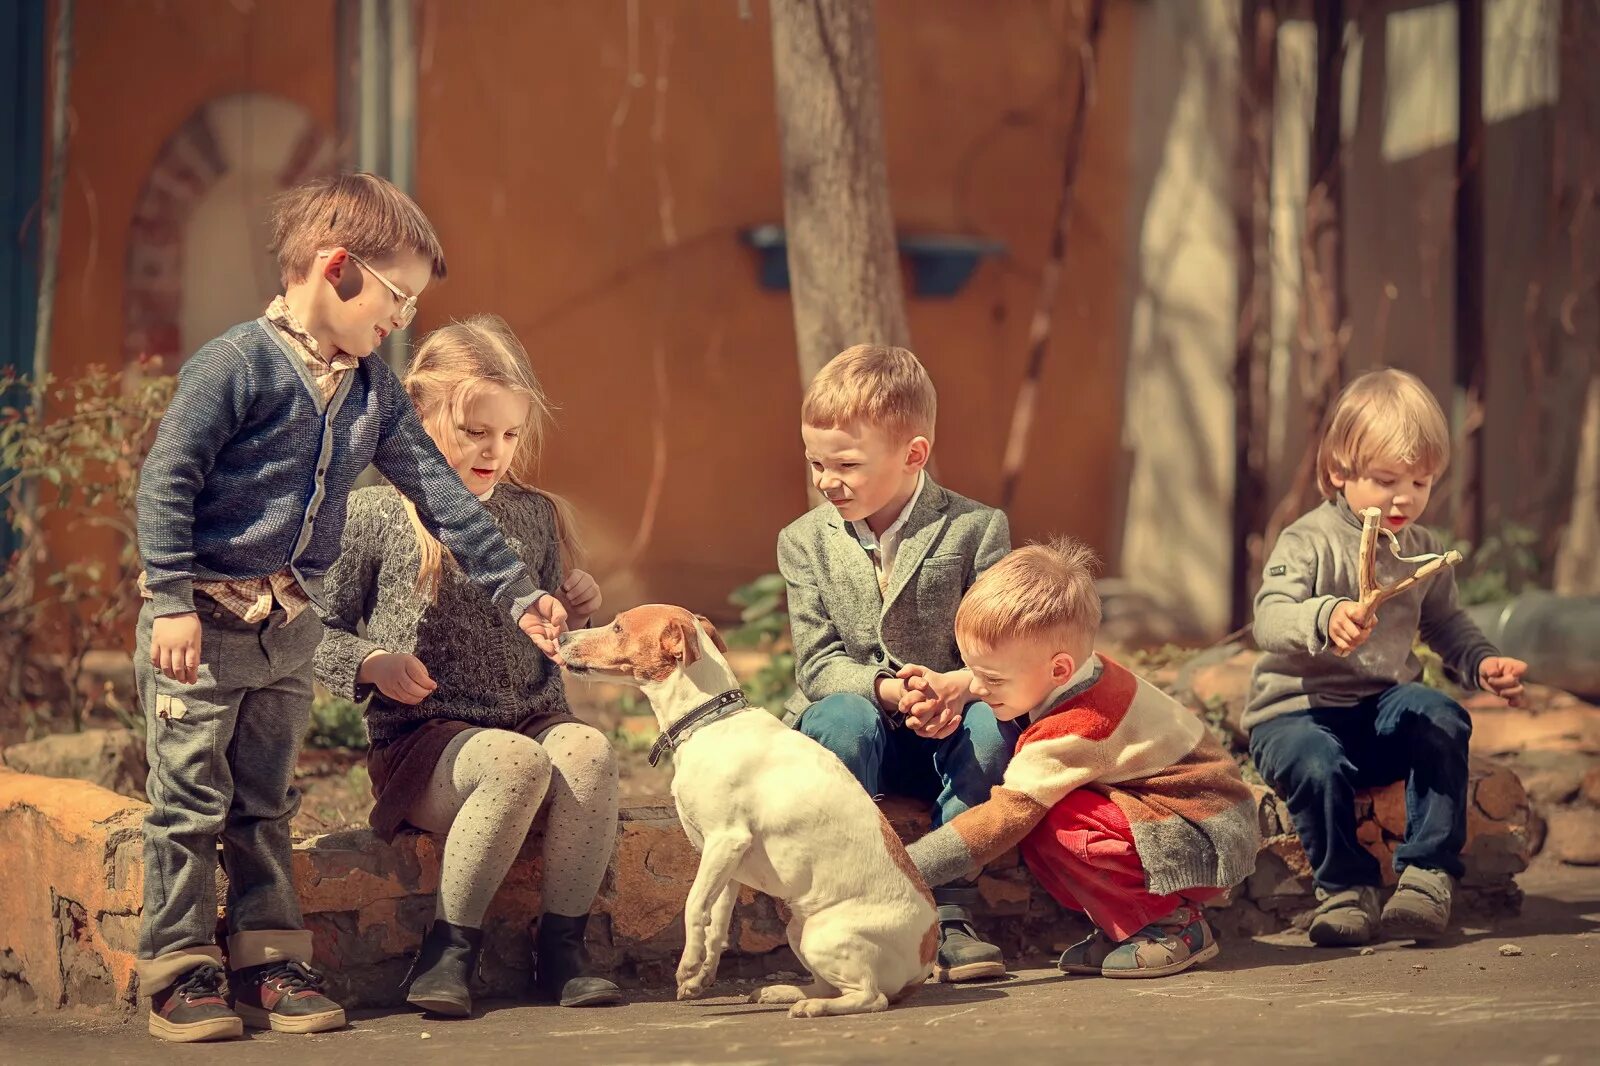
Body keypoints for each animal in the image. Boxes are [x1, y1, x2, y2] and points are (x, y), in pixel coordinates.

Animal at [560, 605, 934, 1011]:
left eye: (617, 627)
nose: (561, 635)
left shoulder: (726, 840)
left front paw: (687, 967)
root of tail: (925, 959)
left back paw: (813, 1007)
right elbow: (716, 922)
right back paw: (783, 992)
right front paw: (701, 976)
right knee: (831, 986)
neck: (709, 721)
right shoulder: (728, 863)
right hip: (798, 930)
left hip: (824, 937)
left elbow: (693, 905)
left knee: (870, 997)